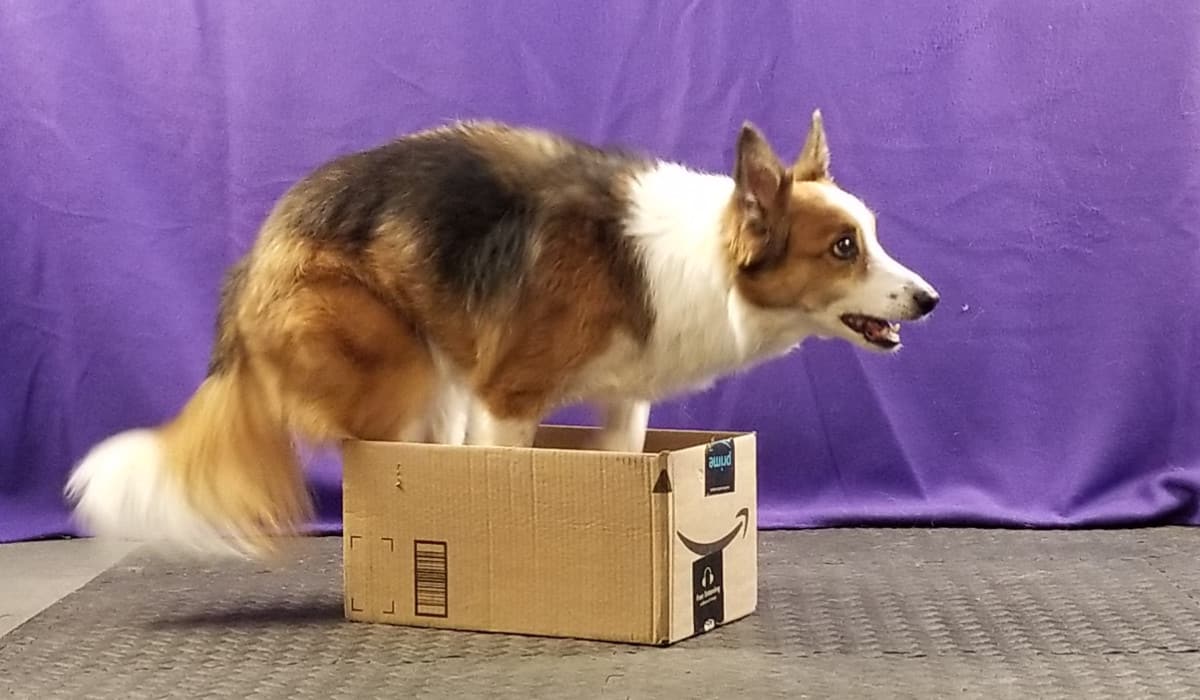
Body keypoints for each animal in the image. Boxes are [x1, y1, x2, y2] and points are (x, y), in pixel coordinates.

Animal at [65, 111, 940, 559]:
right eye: (842, 248)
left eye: (868, 235)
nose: (931, 300)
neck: (700, 262)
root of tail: (256, 255)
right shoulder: (508, 400)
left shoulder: (625, 406)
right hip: (401, 372)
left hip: (442, 382)